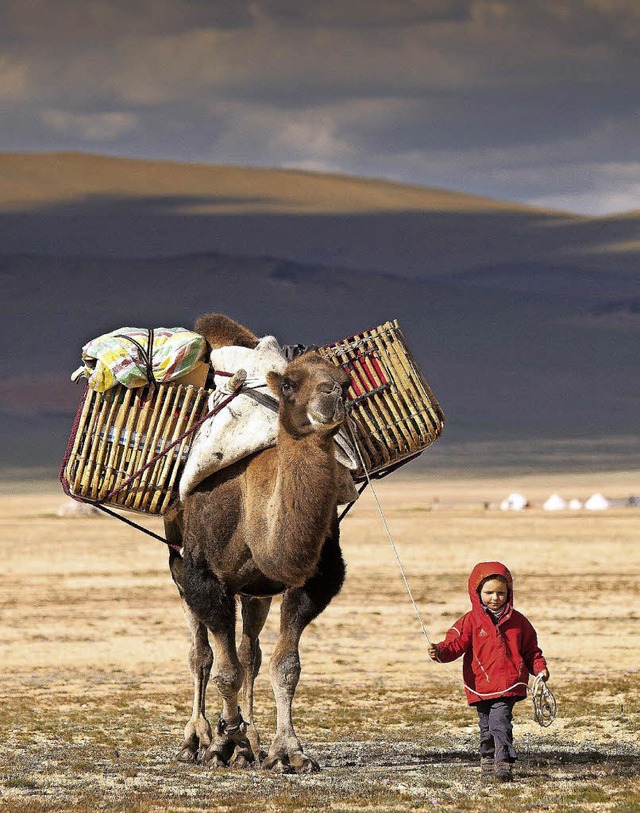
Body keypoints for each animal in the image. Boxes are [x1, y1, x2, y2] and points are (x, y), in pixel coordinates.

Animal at [165, 312, 352, 772]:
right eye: (288, 383)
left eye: (346, 378)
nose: (334, 394)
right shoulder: (203, 576)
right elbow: (222, 669)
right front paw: (221, 742)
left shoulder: (312, 580)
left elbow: (285, 666)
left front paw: (289, 751)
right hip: (179, 565)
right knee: (202, 653)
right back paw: (198, 741)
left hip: (255, 590)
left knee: (250, 653)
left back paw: (251, 742)